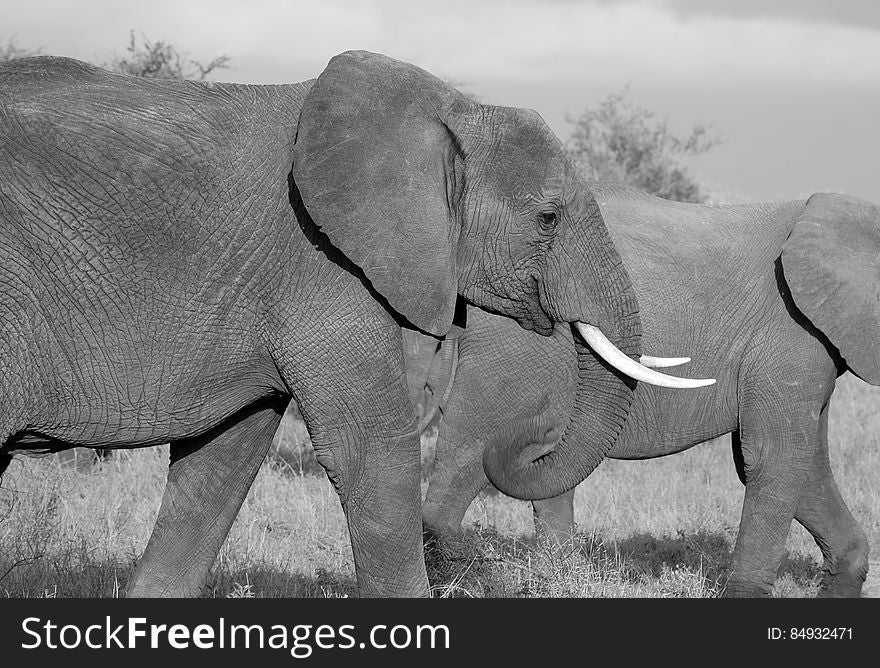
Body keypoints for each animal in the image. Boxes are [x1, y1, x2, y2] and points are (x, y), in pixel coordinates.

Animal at [0, 51, 704, 596]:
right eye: (548, 217)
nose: (531, 437)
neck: (450, 110)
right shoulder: (319, 262)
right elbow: (372, 449)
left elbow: (223, 457)